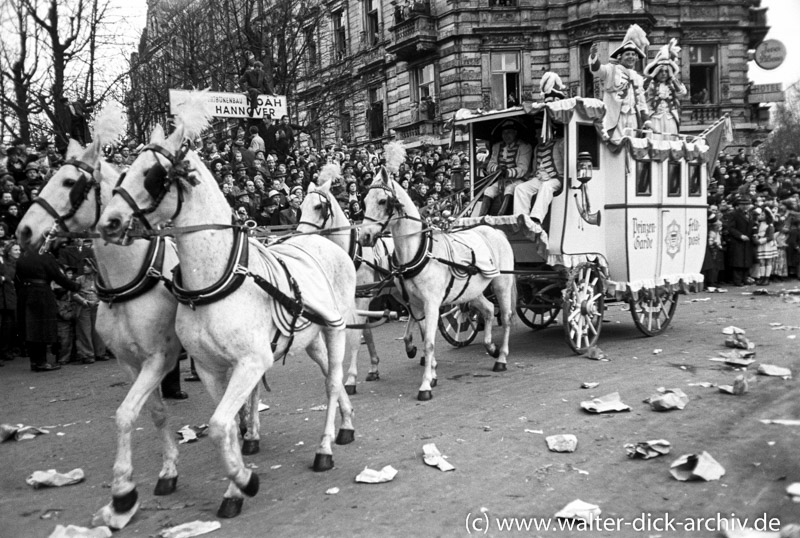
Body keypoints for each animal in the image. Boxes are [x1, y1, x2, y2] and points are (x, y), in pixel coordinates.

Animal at [14, 138, 193, 528]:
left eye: (69, 182)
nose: (24, 231)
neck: (131, 277)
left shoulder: (157, 358)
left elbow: (125, 415)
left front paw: (123, 491)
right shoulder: (130, 362)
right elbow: (154, 413)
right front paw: (168, 470)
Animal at [94, 112, 356, 516]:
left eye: (152, 175)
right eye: (124, 173)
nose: (109, 221)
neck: (217, 276)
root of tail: (320, 242)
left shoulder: (252, 360)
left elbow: (218, 425)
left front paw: (245, 480)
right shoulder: (209, 367)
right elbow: (226, 426)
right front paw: (235, 485)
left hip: (336, 328)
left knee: (331, 382)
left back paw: (325, 447)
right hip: (311, 338)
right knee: (332, 374)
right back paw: (344, 425)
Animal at [360, 151, 516, 398]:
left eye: (382, 201)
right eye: (364, 201)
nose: (364, 236)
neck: (418, 252)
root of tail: (494, 229)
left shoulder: (432, 303)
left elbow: (430, 342)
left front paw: (425, 385)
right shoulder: (415, 305)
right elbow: (422, 336)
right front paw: (430, 372)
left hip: (502, 283)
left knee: (507, 316)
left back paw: (501, 357)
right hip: (472, 291)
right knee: (489, 310)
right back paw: (490, 345)